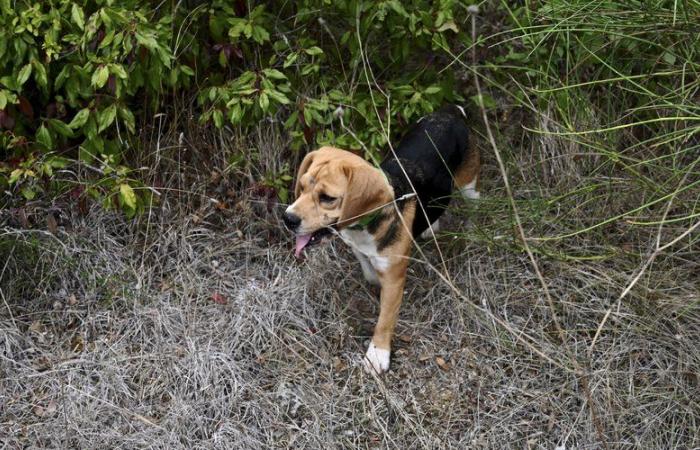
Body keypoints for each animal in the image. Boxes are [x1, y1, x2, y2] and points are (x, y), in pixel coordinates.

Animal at [284, 104, 482, 372]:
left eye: (327, 198)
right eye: (302, 187)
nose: (288, 219)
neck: (363, 226)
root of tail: (451, 113)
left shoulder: (394, 280)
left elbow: (385, 319)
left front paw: (378, 354)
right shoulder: (358, 248)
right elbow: (368, 270)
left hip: (468, 185)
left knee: (476, 203)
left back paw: (474, 231)